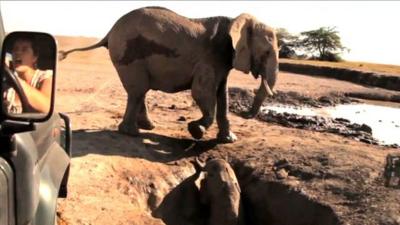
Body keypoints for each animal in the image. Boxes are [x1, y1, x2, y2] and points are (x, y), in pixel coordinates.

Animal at [60, 6, 278, 142]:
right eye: (267, 52)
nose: (246, 114)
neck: (235, 21)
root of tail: (109, 31)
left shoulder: (222, 61)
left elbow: (222, 95)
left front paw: (228, 140)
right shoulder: (209, 58)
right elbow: (201, 92)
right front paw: (196, 131)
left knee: (140, 91)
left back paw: (148, 127)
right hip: (128, 52)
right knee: (138, 90)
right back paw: (133, 133)